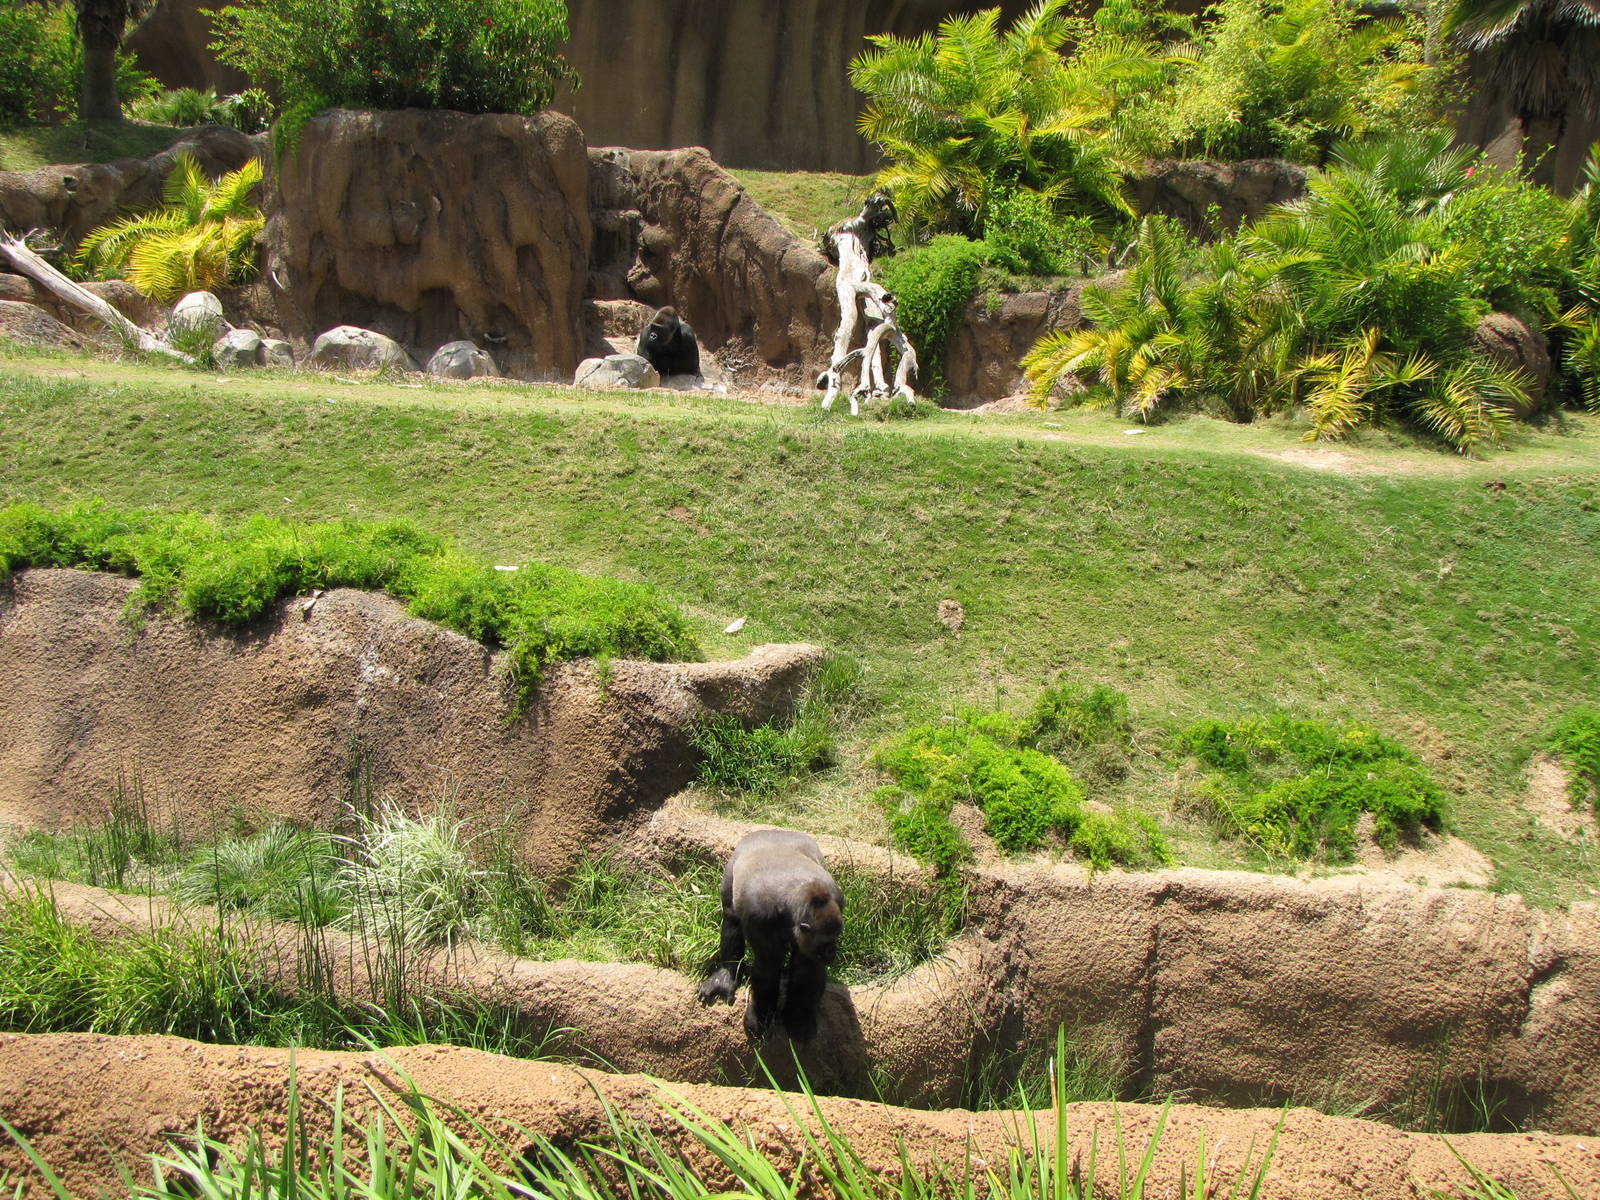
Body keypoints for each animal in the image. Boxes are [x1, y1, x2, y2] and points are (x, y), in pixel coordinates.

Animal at [696, 828, 845, 1041]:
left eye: (835, 938)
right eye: (826, 943)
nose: (833, 952)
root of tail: (773, 830)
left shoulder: (835, 900)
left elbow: (807, 967)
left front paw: (799, 1015)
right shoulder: (759, 916)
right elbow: (768, 966)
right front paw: (760, 1015)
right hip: (732, 868)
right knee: (731, 919)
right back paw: (727, 974)